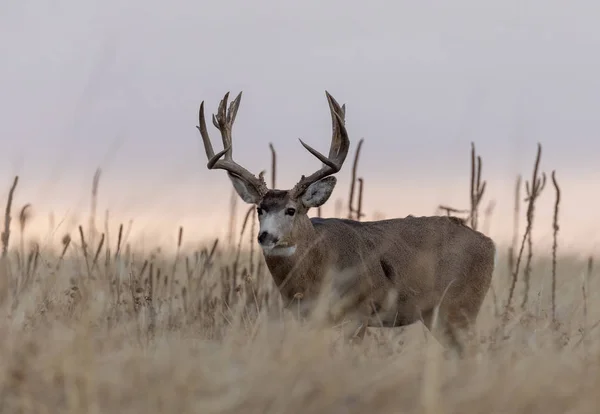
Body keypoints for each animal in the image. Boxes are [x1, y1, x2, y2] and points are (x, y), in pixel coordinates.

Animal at [195, 90, 494, 356]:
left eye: (291, 210)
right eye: (260, 209)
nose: (266, 236)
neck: (318, 266)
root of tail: (490, 244)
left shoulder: (359, 311)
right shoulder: (305, 316)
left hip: (460, 305)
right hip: (438, 314)